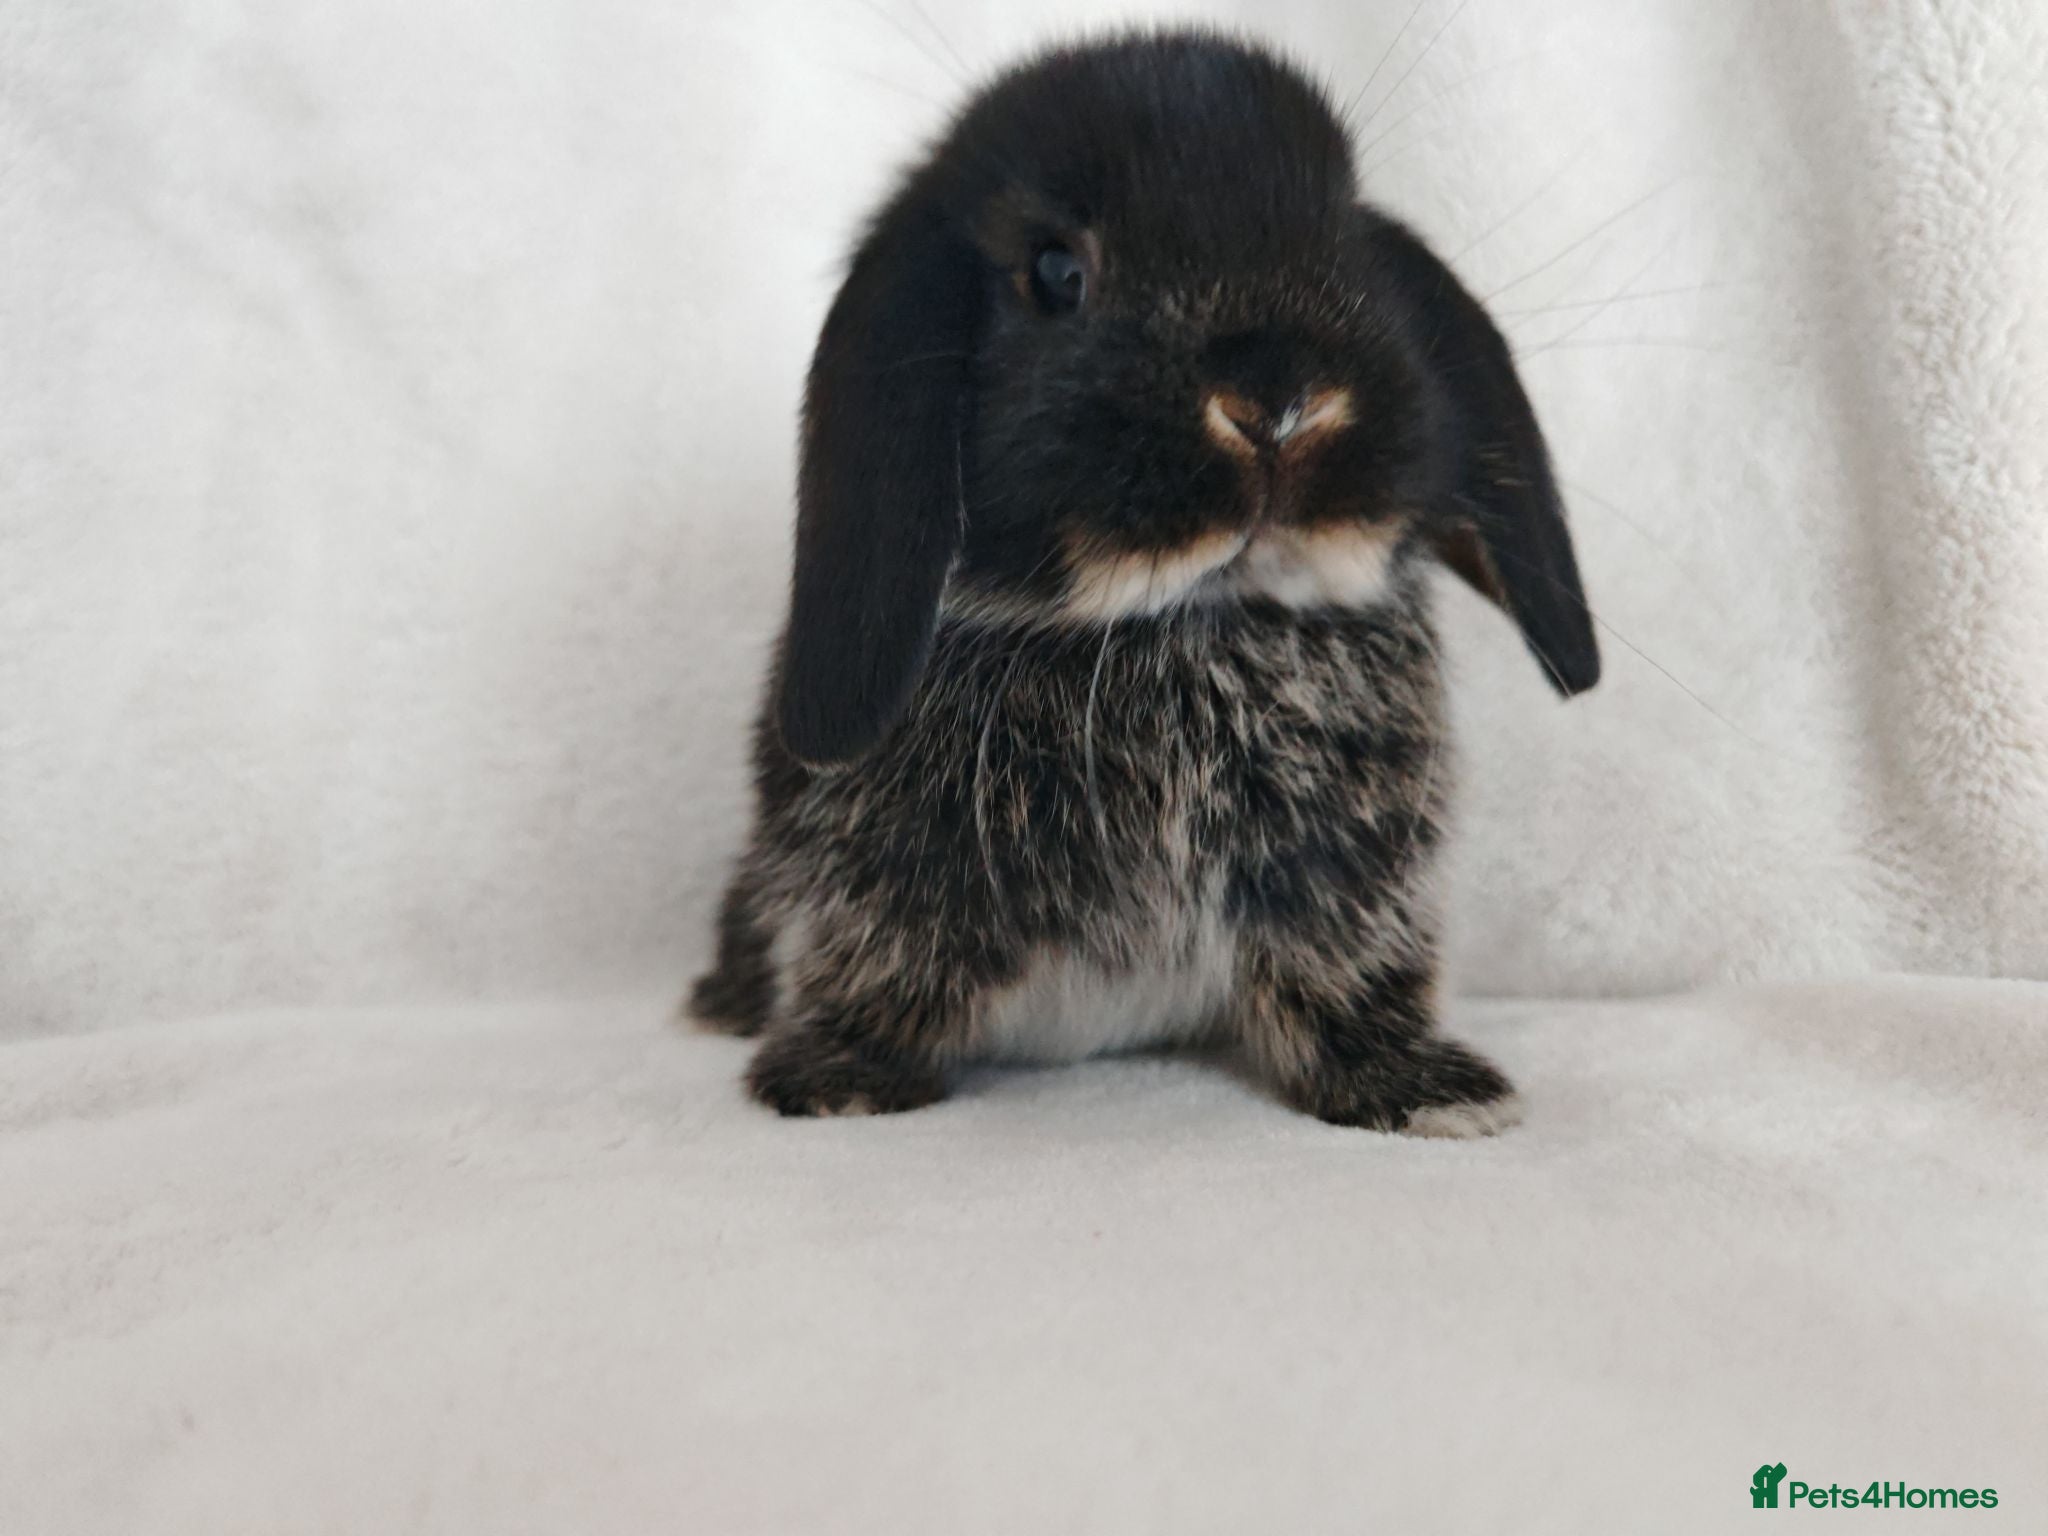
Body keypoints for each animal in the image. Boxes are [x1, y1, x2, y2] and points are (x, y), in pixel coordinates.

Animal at [688, 30, 1599, 1135]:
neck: (1183, 619)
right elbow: (872, 969)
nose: (1275, 398)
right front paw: (836, 1079)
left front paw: (1425, 1088)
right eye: (1054, 271)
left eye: (1345, 244)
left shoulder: (1343, 890)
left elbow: (1348, 979)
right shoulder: (878, 886)